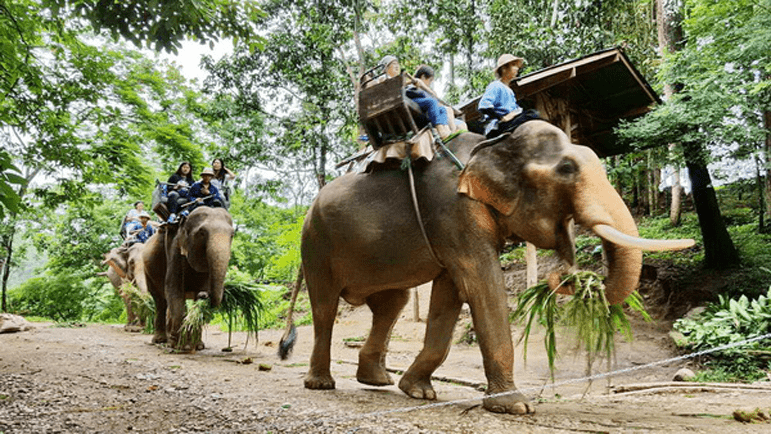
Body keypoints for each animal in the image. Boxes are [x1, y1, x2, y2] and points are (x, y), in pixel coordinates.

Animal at [144, 205, 235, 350]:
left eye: (232, 235)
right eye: (202, 233)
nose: (205, 295)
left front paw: (197, 346)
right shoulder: (175, 249)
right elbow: (174, 290)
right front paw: (177, 346)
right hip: (148, 271)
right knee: (160, 301)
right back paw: (160, 340)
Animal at [296, 118, 692, 414]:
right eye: (566, 168)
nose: (568, 276)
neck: (493, 145)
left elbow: (450, 292)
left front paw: (419, 392)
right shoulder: (452, 211)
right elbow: (480, 282)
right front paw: (515, 406)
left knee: (393, 303)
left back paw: (377, 380)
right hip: (315, 245)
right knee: (325, 307)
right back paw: (321, 384)